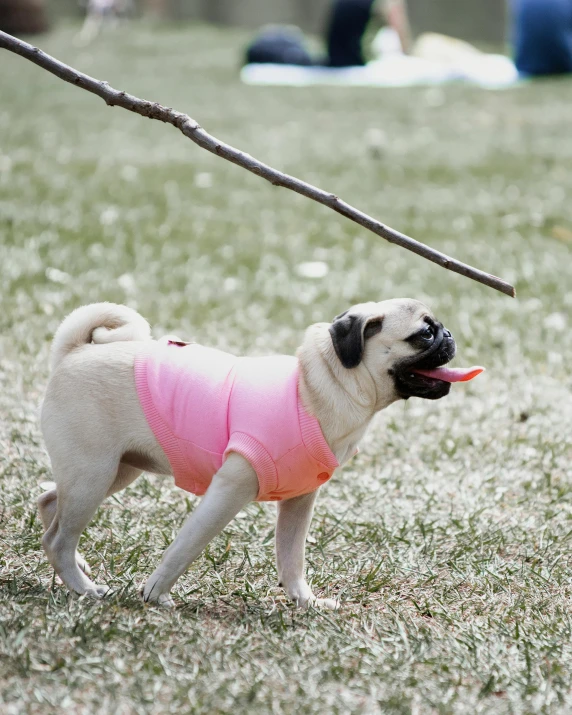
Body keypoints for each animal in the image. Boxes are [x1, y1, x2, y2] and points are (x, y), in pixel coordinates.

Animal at [38, 300, 480, 608]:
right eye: (424, 335)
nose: (449, 335)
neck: (318, 388)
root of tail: (74, 352)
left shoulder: (300, 501)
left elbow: (291, 557)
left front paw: (305, 602)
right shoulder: (228, 489)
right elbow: (186, 545)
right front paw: (156, 594)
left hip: (114, 471)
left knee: (49, 505)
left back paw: (76, 566)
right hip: (94, 474)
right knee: (59, 538)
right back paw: (85, 588)